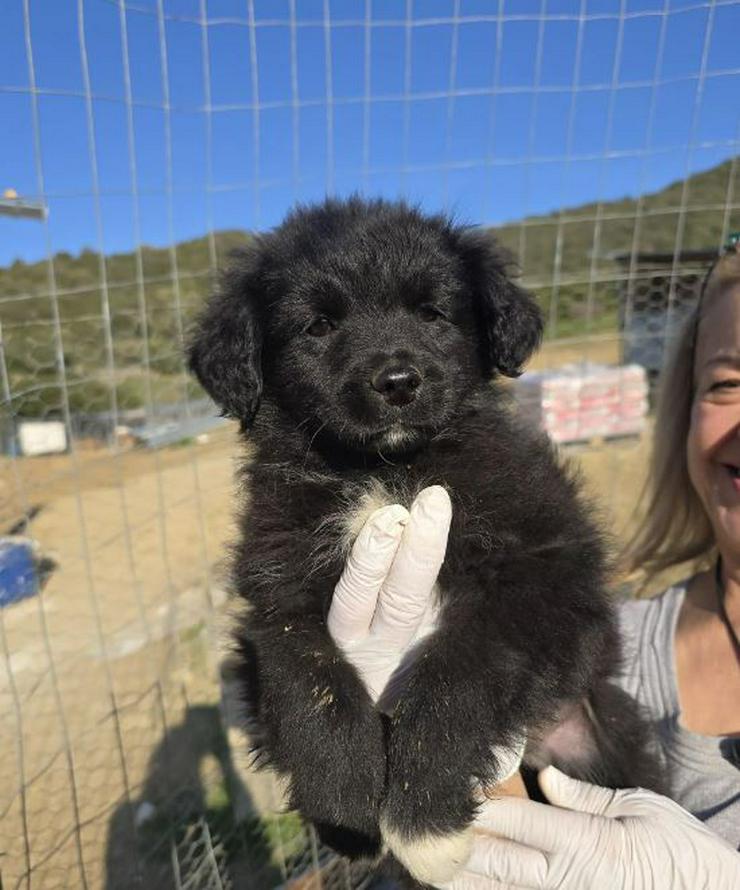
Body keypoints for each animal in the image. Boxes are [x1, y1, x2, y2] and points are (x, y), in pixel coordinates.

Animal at [188, 198, 660, 884]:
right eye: (318, 326)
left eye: (433, 313)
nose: (397, 381)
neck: (385, 470)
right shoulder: (279, 590)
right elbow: (312, 688)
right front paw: (346, 812)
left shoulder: (537, 577)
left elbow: (454, 677)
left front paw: (423, 819)